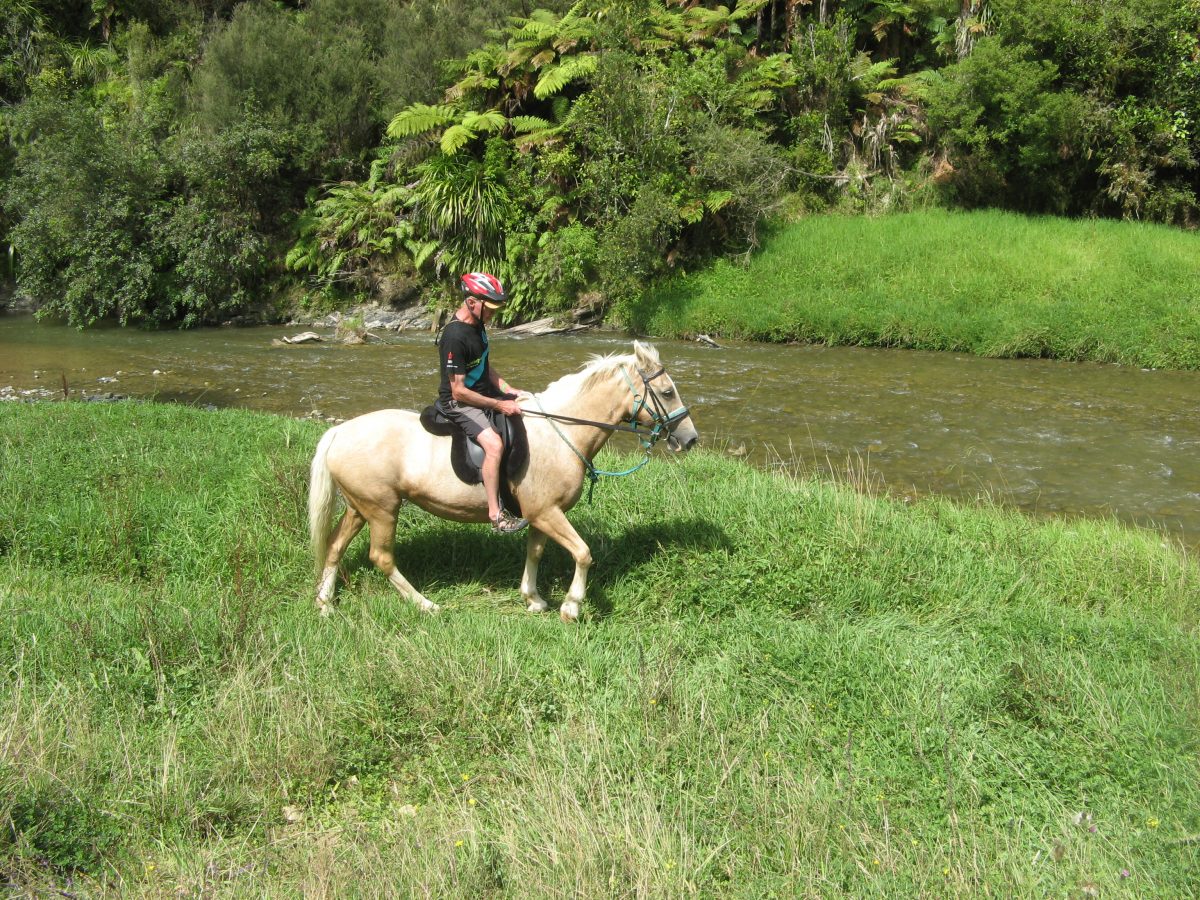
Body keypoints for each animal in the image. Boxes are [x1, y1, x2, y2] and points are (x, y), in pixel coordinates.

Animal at [307, 340, 699, 622]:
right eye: (667, 393)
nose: (690, 438)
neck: (562, 431)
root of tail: (340, 431)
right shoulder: (547, 513)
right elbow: (583, 553)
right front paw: (571, 607)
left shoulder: (541, 514)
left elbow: (535, 552)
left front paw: (534, 598)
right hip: (382, 509)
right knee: (382, 557)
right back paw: (425, 605)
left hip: (361, 507)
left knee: (335, 546)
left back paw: (325, 604)